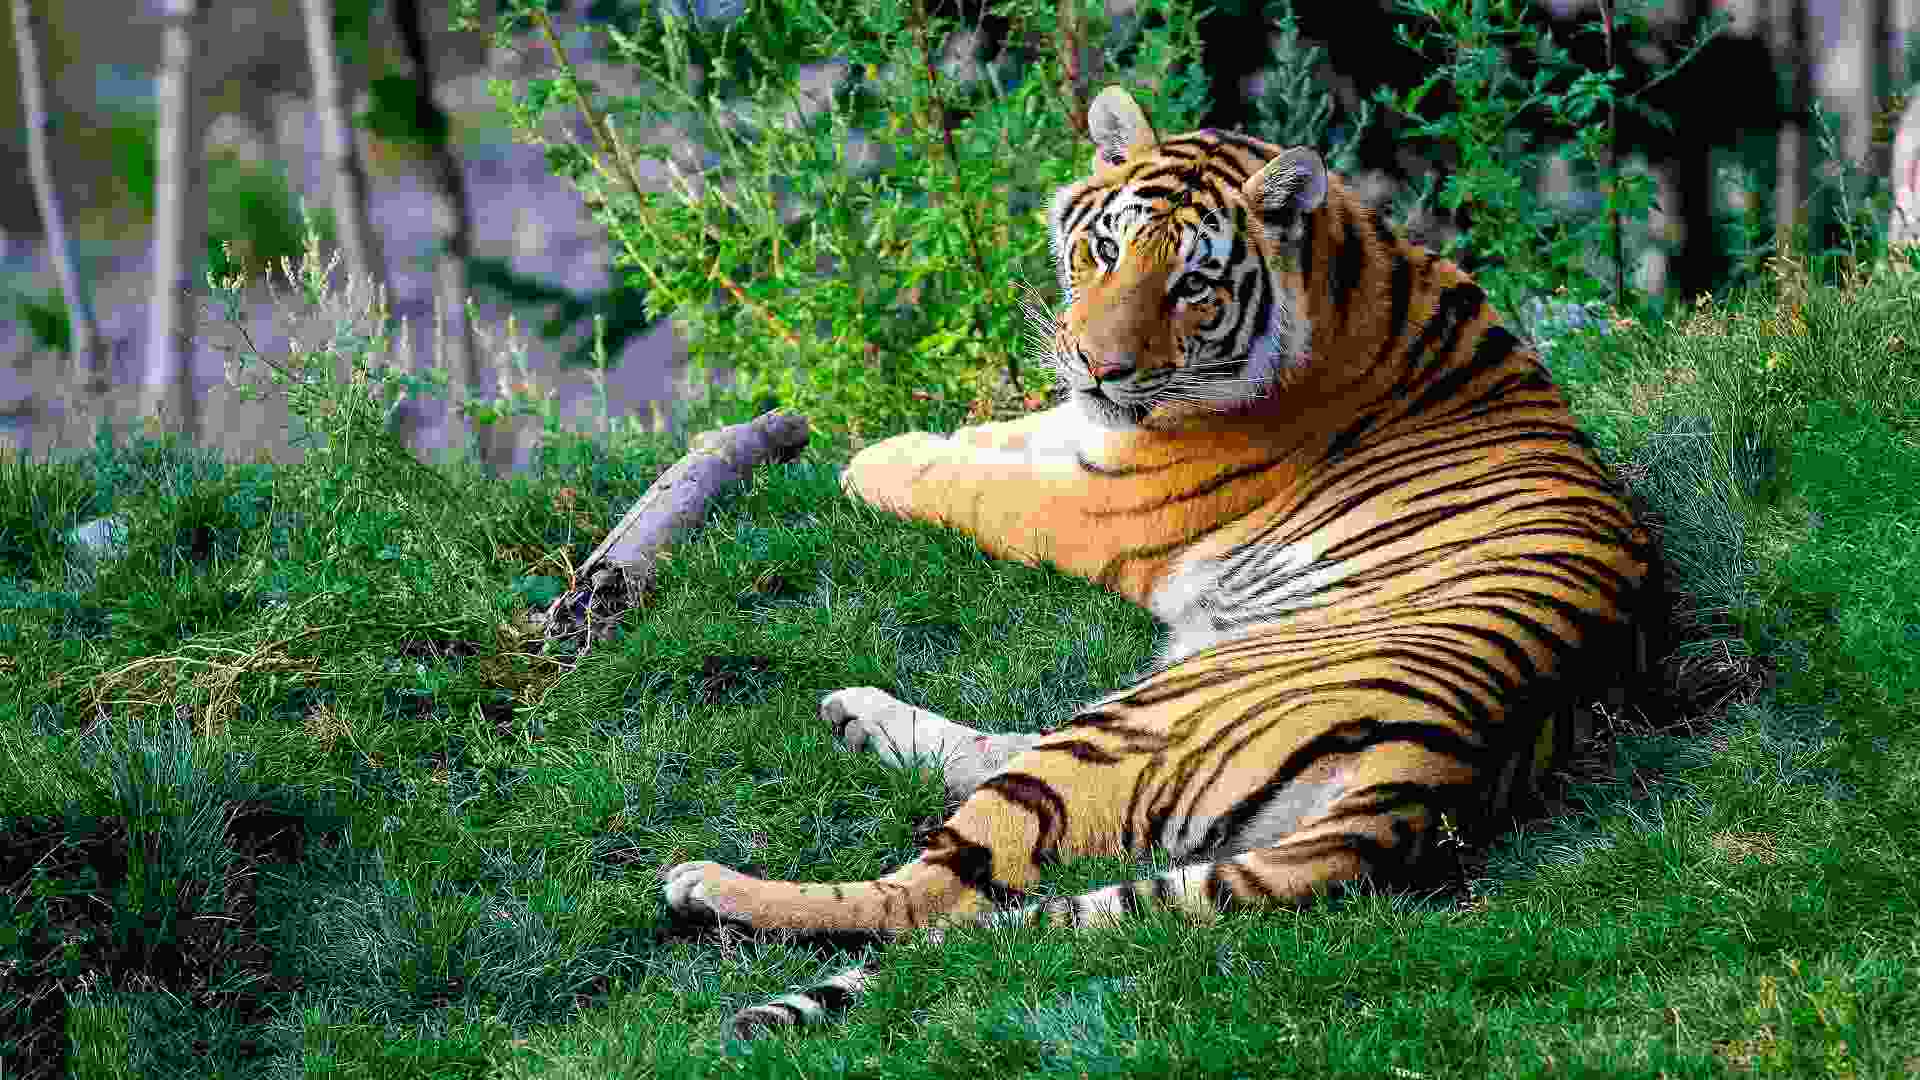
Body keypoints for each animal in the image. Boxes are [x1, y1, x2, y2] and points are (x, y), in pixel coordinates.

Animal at [664, 84, 1666, 1037]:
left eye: (1192, 285)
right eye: (1106, 250)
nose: (1100, 367)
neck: (1346, 273)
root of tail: (1435, 778)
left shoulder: (1099, 505)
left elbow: (973, 485)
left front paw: (871, 460)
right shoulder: (1082, 433)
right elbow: (999, 437)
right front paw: (923, 437)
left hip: (1148, 716)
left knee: (932, 895)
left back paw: (710, 885)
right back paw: (856, 717)